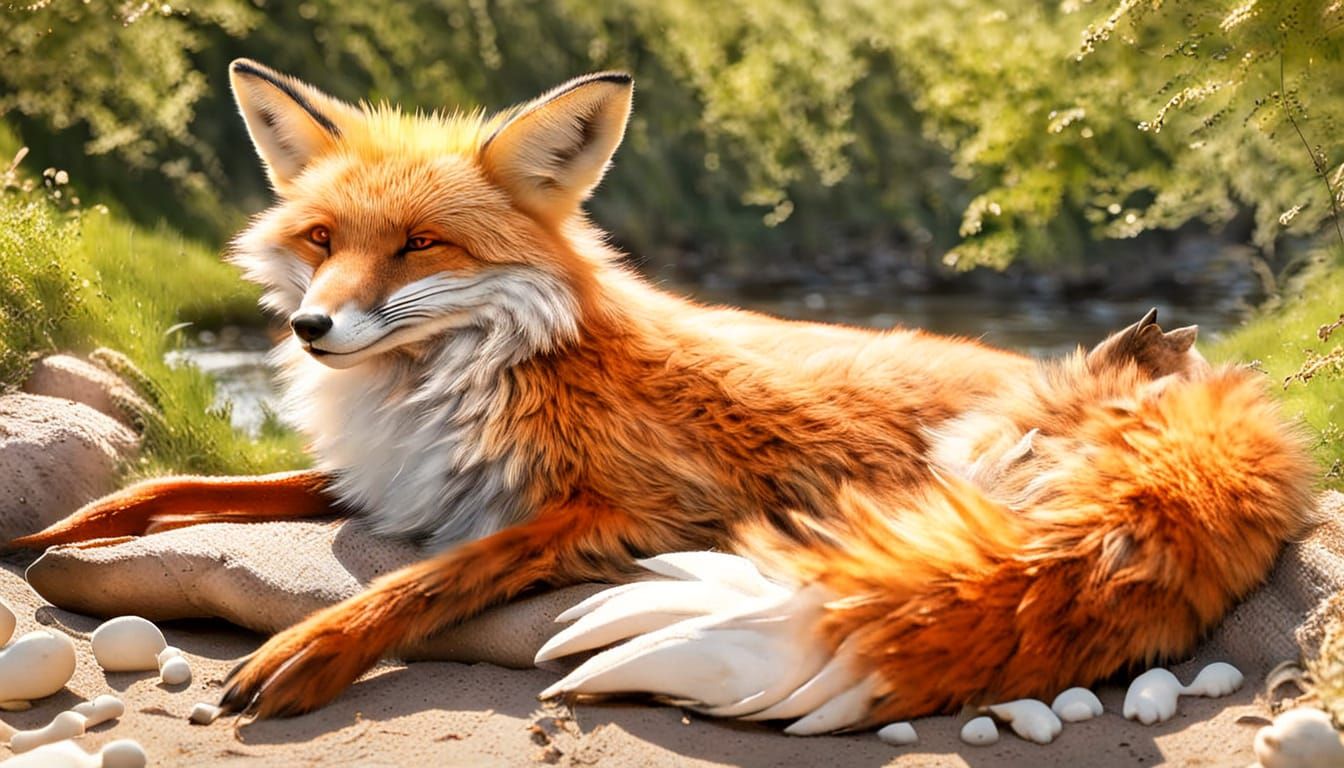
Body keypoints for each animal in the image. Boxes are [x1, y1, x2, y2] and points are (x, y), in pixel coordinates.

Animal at [11, 60, 1315, 729]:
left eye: (421, 246)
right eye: (323, 239)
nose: (310, 327)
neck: (457, 385)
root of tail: (1233, 413)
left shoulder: (628, 508)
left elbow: (429, 581)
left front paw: (317, 646)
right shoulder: (387, 482)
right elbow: (174, 489)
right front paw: (60, 529)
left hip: (968, 469)